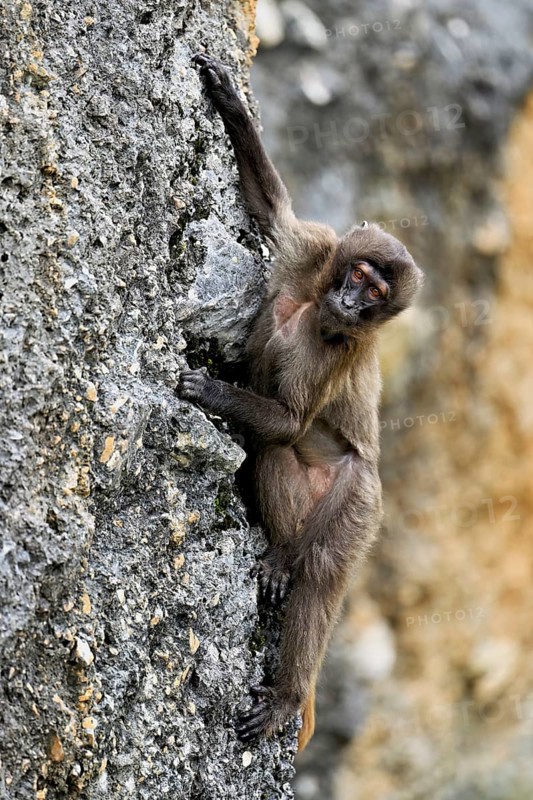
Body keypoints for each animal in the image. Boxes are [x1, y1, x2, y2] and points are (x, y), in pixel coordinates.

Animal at [179, 54, 423, 751]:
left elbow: (290, 418)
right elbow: (273, 214)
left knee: (317, 562)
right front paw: (231, 105)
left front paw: (211, 389)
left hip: (356, 501)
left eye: (376, 294)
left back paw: (289, 674)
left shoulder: (337, 351)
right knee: (272, 458)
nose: (351, 302)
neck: (317, 303)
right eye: (360, 274)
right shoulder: (312, 250)